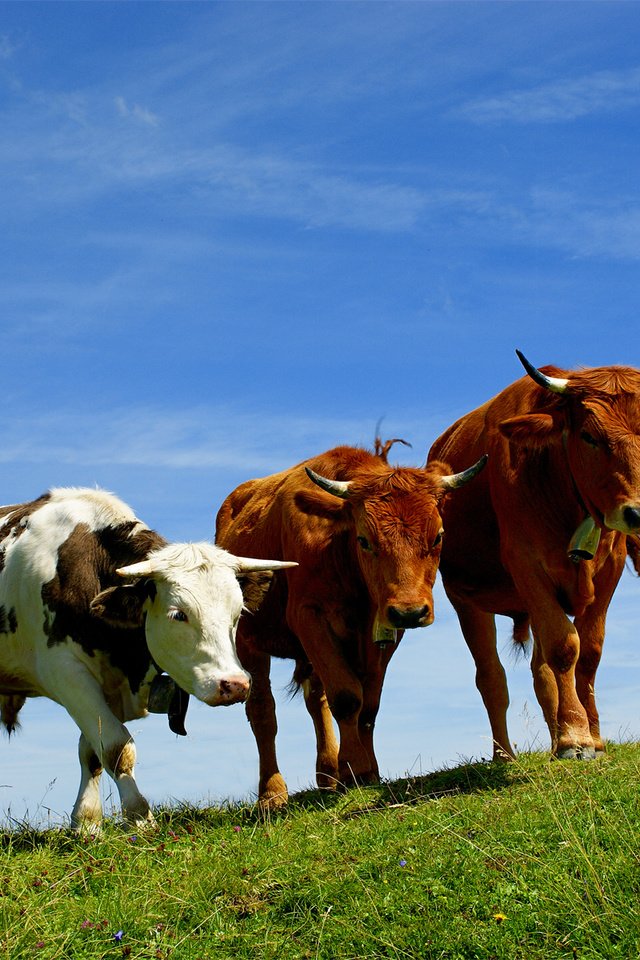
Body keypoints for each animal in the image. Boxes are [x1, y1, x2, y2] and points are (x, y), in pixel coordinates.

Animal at [0, 492, 296, 828]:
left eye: (237, 613)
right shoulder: (66, 674)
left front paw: (87, 822)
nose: (234, 684)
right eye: (178, 614)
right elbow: (116, 747)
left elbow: (92, 752)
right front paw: (138, 816)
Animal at [215, 442, 484, 808]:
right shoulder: (308, 616)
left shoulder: (383, 632)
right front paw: (354, 768)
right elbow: (346, 696)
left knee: (316, 701)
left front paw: (364, 771)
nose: (410, 611)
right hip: (249, 641)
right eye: (364, 540)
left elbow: (368, 705)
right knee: (263, 712)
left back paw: (328, 773)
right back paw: (272, 792)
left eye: (438, 536)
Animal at [428, 352, 640, 764]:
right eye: (590, 436)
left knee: (541, 673)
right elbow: (565, 646)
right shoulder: (526, 564)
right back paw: (504, 754)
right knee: (491, 677)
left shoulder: (611, 569)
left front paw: (592, 737)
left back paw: (556, 740)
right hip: (467, 600)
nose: (638, 512)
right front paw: (576, 738)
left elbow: (588, 653)